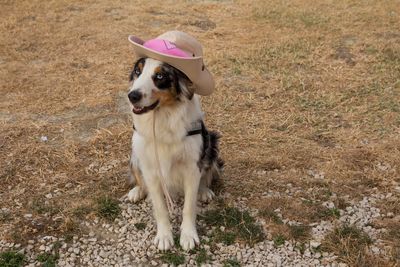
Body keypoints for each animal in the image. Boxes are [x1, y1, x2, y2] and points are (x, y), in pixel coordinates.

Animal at [126, 31, 223, 251]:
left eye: (160, 76)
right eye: (137, 72)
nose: (132, 95)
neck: (163, 117)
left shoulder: (191, 166)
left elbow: (189, 206)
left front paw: (188, 236)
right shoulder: (150, 168)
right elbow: (160, 207)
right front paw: (164, 236)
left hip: (211, 142)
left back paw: (204, 191)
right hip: (135, 154)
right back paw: (137, 191)